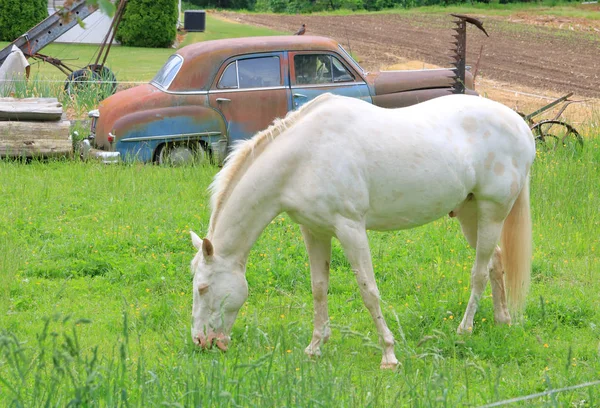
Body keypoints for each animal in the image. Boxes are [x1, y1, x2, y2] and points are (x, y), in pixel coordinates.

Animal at [189, 92, 536, 370]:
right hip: (469, 212)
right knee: (495, 262)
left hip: (492, 211)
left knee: (479, 273)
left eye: (203, 288)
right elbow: (318, 288)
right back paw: (502, 321)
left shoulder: (351, 229)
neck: (304, 156)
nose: (201, 342)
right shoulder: (314, 231)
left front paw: (389, 355)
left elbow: (368, 291)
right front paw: (315, 347)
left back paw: (464, 330)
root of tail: (522, 128)